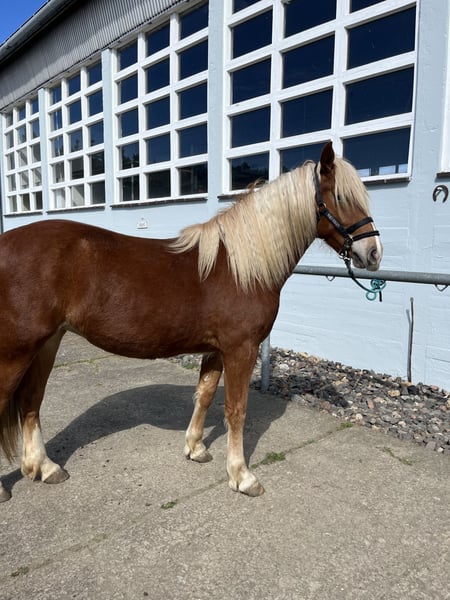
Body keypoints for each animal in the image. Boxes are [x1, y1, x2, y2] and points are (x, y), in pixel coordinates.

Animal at [0, 142, 382, 502]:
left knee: (31, 401)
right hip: (18, 350)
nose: (374, 253)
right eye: (341, 198)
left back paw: (45, 468)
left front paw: (196, 448)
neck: (240, 268)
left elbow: (206, 395)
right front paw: (242, 476)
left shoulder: (216, 350)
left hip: (46, 343)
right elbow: (236, 409)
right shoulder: (241, 349)